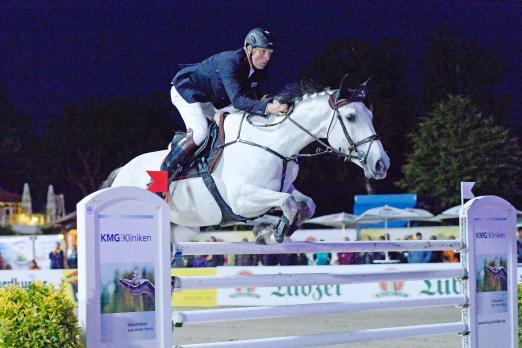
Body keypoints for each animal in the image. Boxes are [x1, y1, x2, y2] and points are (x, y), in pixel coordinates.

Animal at [110, 79, 386, 242]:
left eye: (371, 115)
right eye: (350, 117)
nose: (382, 164)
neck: (275, 143)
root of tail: (120, 173)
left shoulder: (283, 188)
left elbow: (306, 204)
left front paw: (273, 228)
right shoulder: (242, 199)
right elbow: (287, 203)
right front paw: (274, 231)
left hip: (183, 227)